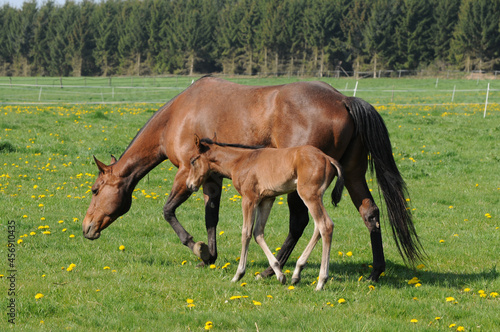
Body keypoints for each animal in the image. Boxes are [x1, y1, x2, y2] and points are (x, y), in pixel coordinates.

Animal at [186, 136, 346, 290]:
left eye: (193, 161)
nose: (189, 184)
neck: (241, 161)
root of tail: (328, 158)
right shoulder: (266, 200)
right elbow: (258, 233)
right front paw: (280, 274)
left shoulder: (249, 199)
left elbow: (246, 233)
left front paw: (238, 275)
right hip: (316, 197)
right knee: (318, 228)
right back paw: (297, 273)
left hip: (309, 194)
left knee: (325, 225)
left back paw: (321, 281)